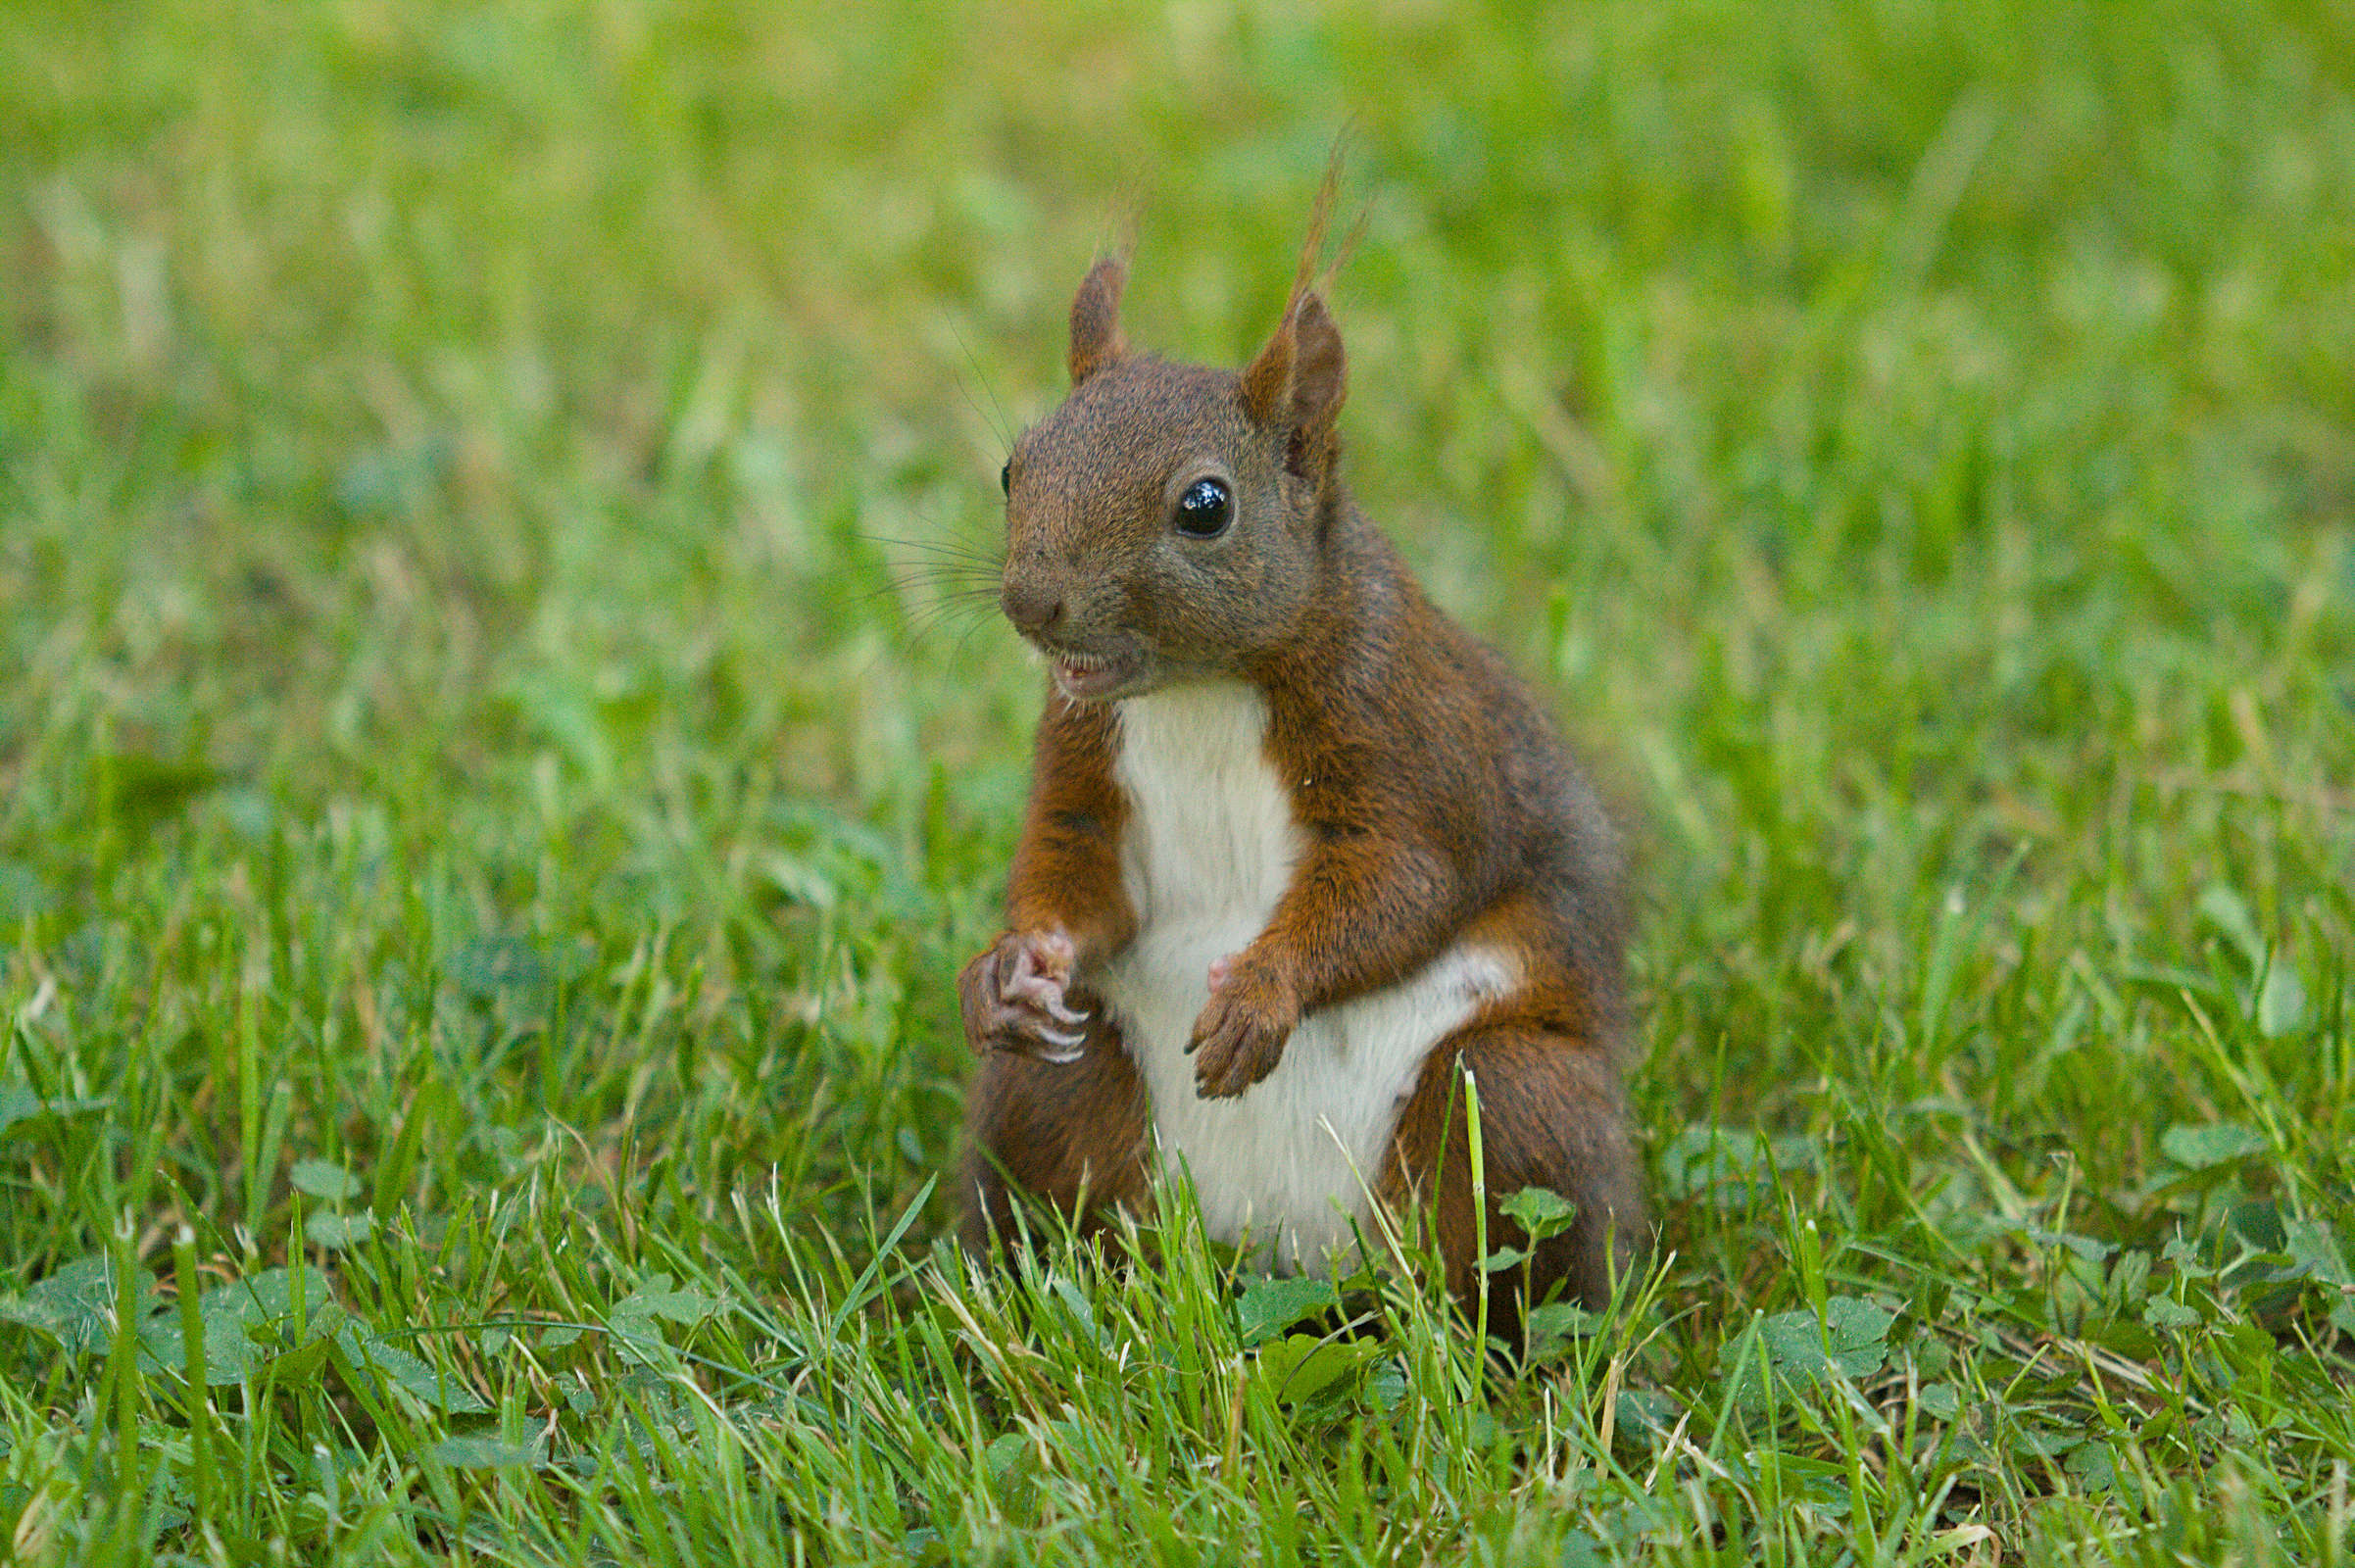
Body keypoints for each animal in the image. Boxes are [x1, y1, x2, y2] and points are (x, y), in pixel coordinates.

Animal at [954, 200, 1643, 1331]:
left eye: (1205, 505)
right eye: (1016, 468)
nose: (1032, 604)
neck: (1199, 692)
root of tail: (1281, 1249)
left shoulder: (1408, 734)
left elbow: (1400, 878)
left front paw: (1261, 996)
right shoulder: (1083, 754)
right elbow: (1077, 866)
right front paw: (1011, 968)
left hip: (1509, 1105)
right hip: (1054, 1100)